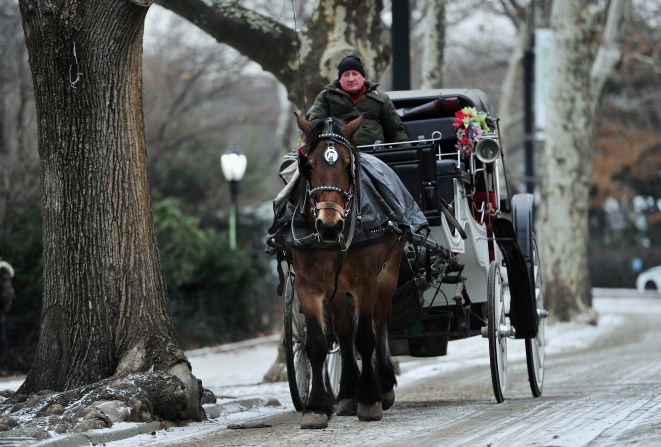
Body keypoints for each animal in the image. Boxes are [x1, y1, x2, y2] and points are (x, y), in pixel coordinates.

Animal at [292, 115, 404, 430]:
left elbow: (365, 337)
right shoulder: (308, 286)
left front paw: (369, 399)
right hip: (338, 290)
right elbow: (317, 343)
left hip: (388, 274)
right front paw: (317, 406)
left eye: (346, 165)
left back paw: (383, 384)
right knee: (343, 333)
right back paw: (347, 393)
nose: (329, 225)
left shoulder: (366, 282)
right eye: (309, 166)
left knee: (379, 323)